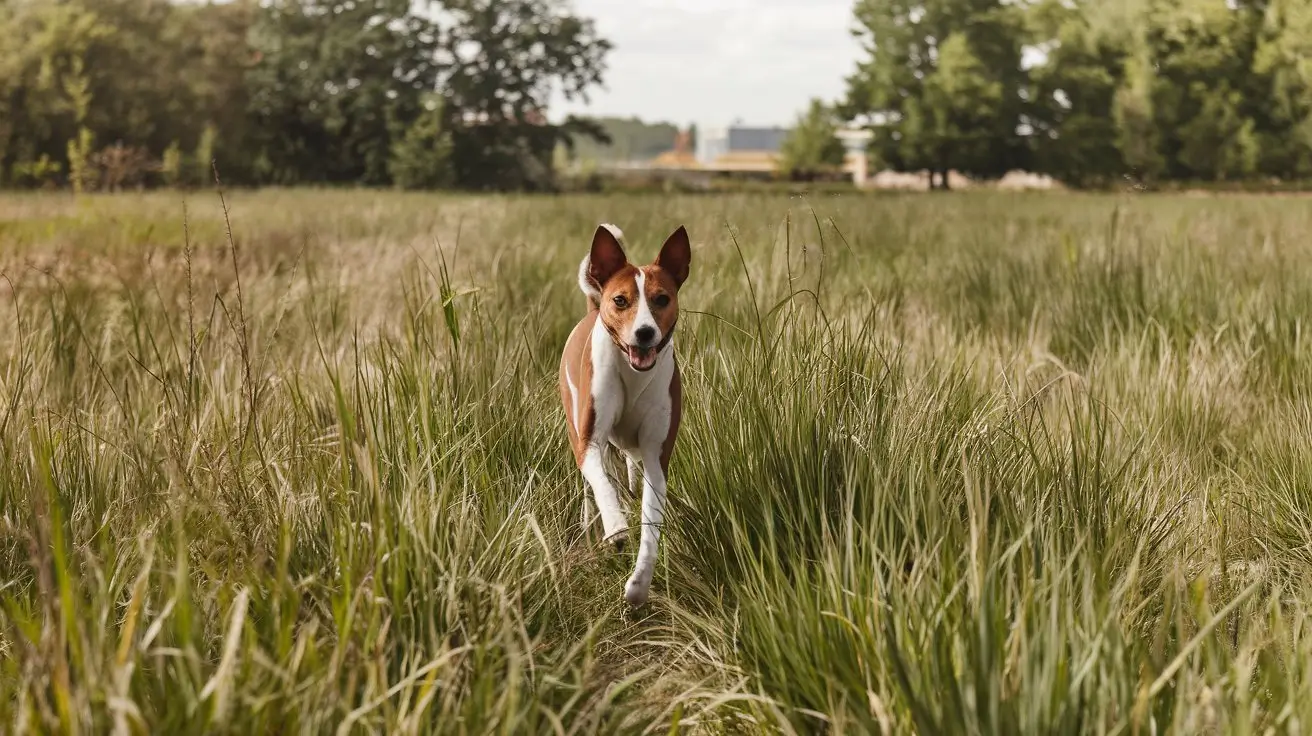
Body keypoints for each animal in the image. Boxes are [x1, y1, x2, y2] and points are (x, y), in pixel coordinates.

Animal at [558, 220, 692, 606]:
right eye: (621, 300)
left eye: (662, 299)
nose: (645, 333)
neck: (633, 375)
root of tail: (592, 306)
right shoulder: (589, 441)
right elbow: (603, 485)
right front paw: (615, 527)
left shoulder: (656, 457)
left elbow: (650, 528)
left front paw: (639, 585)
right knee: (593, 487)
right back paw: (595, 524)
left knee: (629, 470)